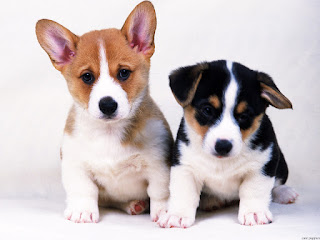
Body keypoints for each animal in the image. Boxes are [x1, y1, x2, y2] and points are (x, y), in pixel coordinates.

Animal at [35, 0, 172, 224]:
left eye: (124, 73)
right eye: (87, 77)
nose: (107, 105)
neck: (109, 132)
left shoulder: (159, 165)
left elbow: (161, 192)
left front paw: (165, 211)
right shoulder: (75, 165)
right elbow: (84, 190)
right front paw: (82, 210)